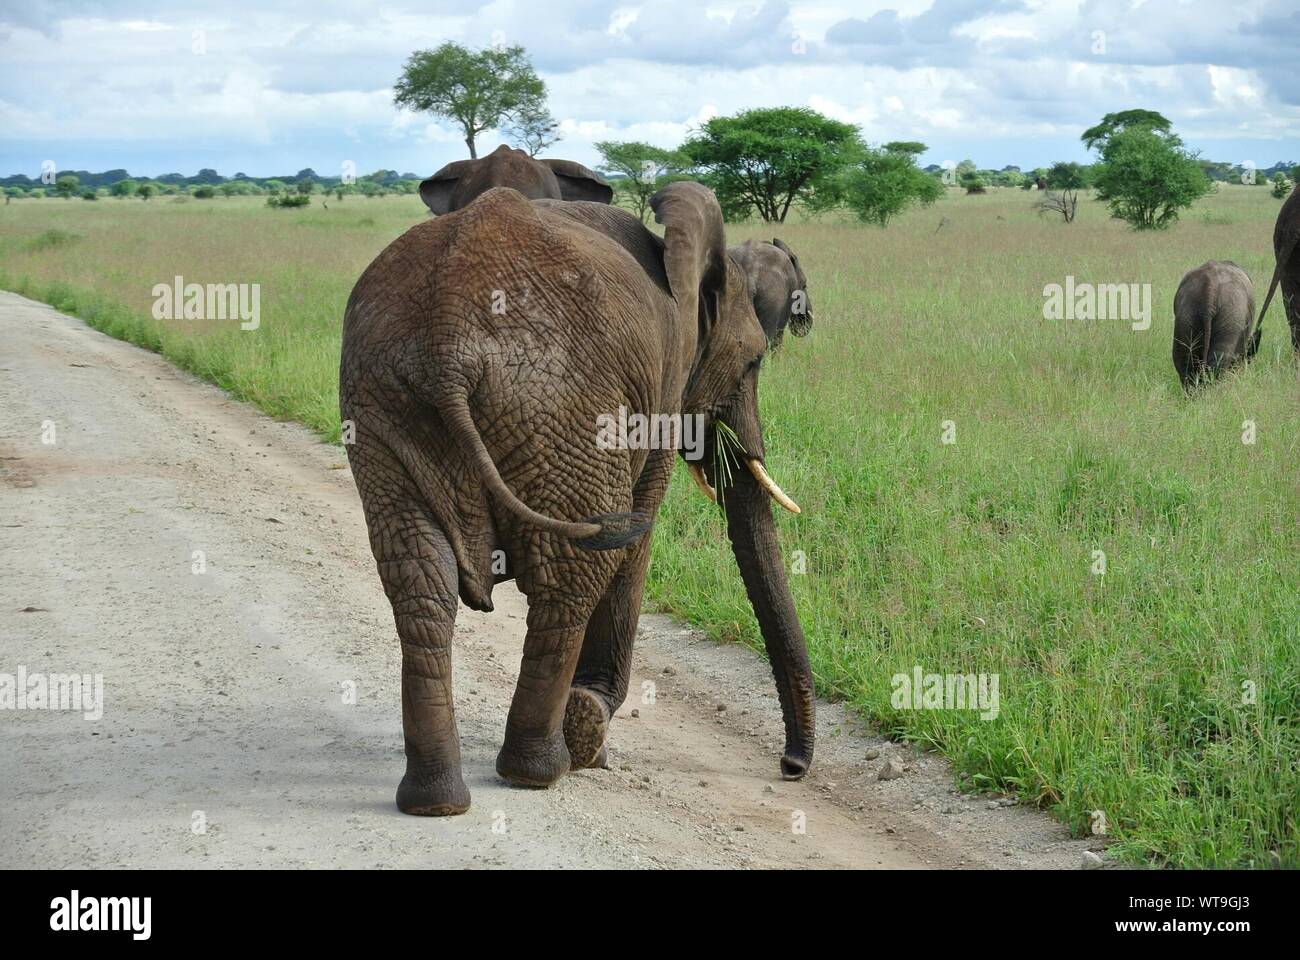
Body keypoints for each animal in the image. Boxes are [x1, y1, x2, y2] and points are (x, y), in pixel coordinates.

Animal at [339, 180, 814, 816]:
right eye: (754, 362)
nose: (790, 768)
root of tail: (446, 341)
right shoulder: (661, 393)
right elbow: (638, 534)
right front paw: (594, 726)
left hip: (384, 405)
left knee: (419, 578)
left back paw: (436, 802)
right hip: (564, 409)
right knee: (575, 574)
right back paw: (547, 766)